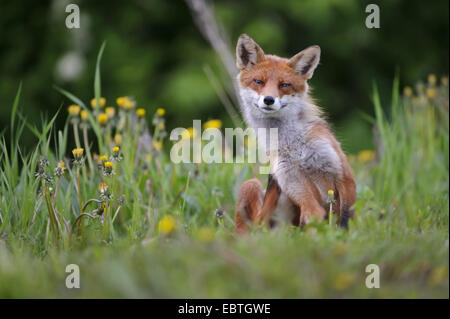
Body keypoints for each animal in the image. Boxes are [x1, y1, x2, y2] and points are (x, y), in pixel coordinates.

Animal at [236, 34, 356, 232]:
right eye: (259, 82)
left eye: (285, 84)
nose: (269, 100)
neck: (295, 146)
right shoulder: (292, 179)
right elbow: (313, 214)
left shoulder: (342, 173)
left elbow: (345, 218)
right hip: (250, 186)